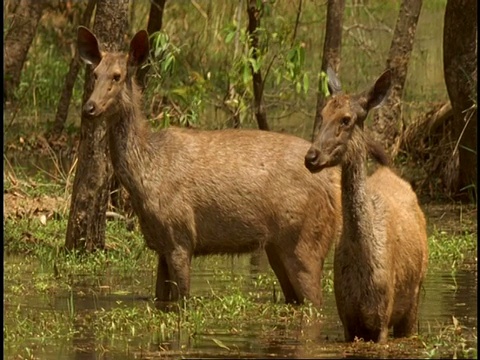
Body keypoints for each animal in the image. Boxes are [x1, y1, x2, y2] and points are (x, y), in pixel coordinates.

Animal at [76, 27, 344, 310]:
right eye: (95, 74)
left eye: (117, 76)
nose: (89, 107)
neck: (145, 174)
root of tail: (333, 180)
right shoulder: (160, 245)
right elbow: (161, 299)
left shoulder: (181, 236)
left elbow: (183, 299)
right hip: (278, 246)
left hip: (305, 239)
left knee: (315, 301)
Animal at [304, 68, 428, 344]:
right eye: (322, 114)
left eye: (346, 119)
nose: (311, 157)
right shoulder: (348, 320)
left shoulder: (381, 319)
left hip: (413, 299)